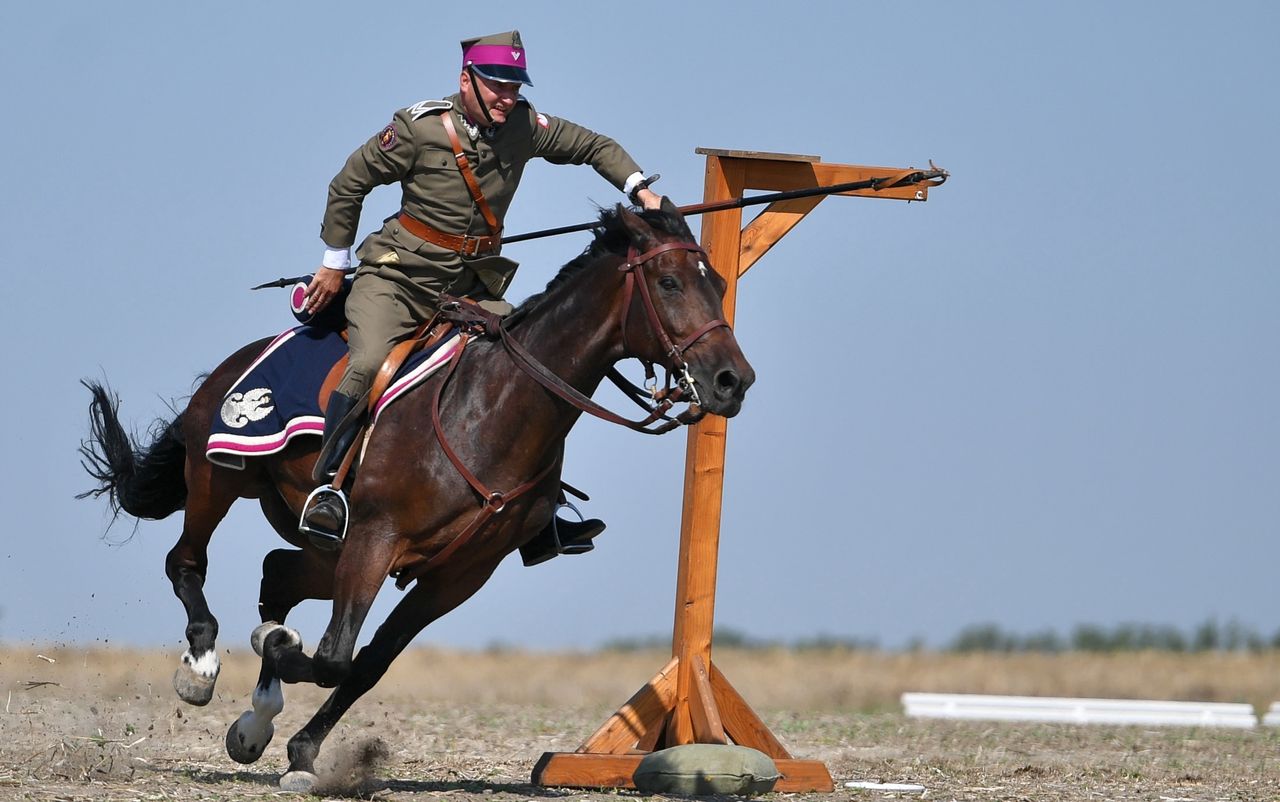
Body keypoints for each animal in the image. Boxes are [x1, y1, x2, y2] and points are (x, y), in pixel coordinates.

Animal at [80, 200, 752, 793]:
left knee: (278, 574)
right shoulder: (376, 540)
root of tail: (234, 364)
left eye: (718, 282)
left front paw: (300, 750)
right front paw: (274, 665)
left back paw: (256, 719)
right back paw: (202, 668)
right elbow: (335, 656)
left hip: (324, 545)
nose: (732, 381)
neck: (490, 410)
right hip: (221, 479)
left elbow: (366, 662)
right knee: (187, 561)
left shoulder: (455, 575)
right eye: (669, 282)